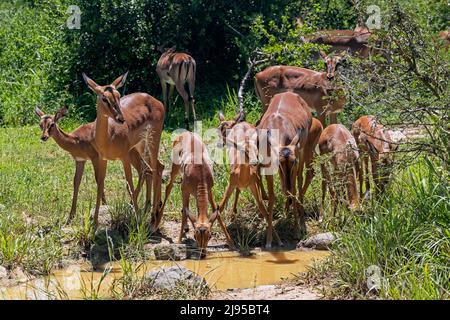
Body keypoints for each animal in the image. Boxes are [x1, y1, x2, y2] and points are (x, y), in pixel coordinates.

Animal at [218, 111, 282, 249]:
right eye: (219, 127)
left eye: (254, 149)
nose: (220, 143)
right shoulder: (231, 184)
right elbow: (219, 208)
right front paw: (230, 241)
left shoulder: (252, 185)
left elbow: (263, 208)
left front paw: (277, 240)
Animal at [258, 91, 312, 236]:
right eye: (278, 163)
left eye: (294, 162)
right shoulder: (268, 166)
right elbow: (272, 196)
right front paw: (269, 236)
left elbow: (293, 190)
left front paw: (297, 230)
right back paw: (286, 212)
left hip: (303, 150)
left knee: (299, 181)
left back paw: (301, 223)